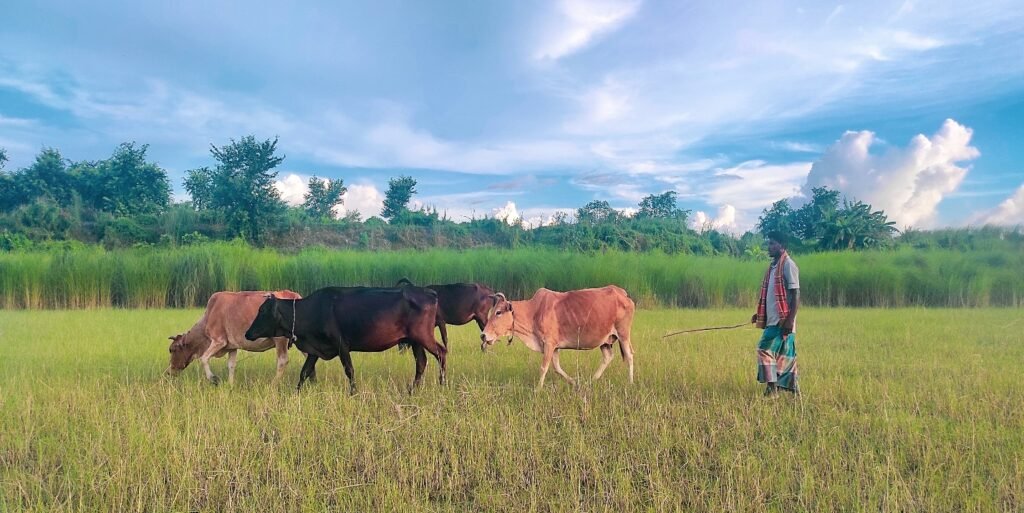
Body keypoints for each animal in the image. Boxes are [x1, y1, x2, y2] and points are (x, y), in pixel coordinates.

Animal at [166, 290, 302, 385]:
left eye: (172, 349)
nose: (168, 371)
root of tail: (294, 295)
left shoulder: (218, 340)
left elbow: (204, 358)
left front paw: (213, 379)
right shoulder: (232, 346)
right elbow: (231, 365)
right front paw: (230, 384)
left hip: (281, 339)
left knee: (282, 361)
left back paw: (273, 384)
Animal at [244, 285, 447, 393]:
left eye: (262, 311)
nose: (247, 333)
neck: (312, 310)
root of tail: (429, 292)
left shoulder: (341, 344)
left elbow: (349, 370)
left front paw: (353, 392)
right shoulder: (315, 349)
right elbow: (304, 372)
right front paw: (296, 393)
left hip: (423, 335)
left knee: (441, 353)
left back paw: (442, 383)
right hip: (414, 340)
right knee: (421, 362)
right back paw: (412, 390)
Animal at [480, 286, 635, 389]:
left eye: (498, 312)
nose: (483, 335)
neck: (533, 311)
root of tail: (622, 293)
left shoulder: (549, 343)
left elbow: (544, 367)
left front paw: (538, 390)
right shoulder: (554, 347)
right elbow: (557, 367)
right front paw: (575, 383)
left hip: (623, 334)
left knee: (629, 357)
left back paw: (630, 383)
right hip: (605, 340)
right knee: (608, 356)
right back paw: (591, 381)